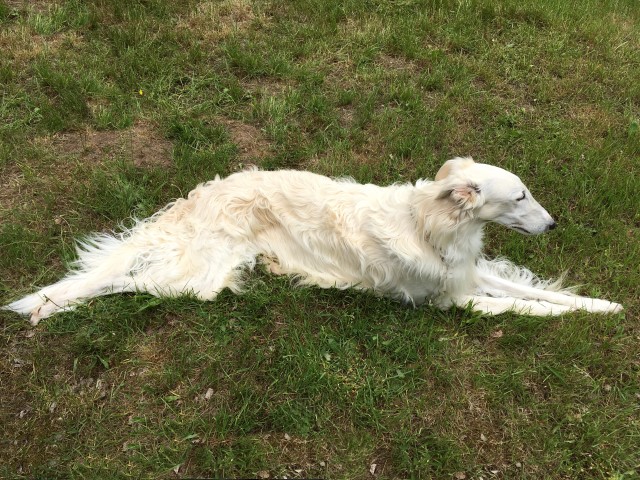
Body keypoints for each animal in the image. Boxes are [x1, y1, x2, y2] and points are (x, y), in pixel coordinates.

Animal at [3, 157, 623, 325]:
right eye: (520, 197)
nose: (553, 225)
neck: (430, 222)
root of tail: (199, 198)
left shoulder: (471, 272)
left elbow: (547, 293)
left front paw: (606, 306)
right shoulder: (455, 300)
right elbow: (529, 308)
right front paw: (577, 317)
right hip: (198, 277)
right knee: (130, 282)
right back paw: (45, 308)